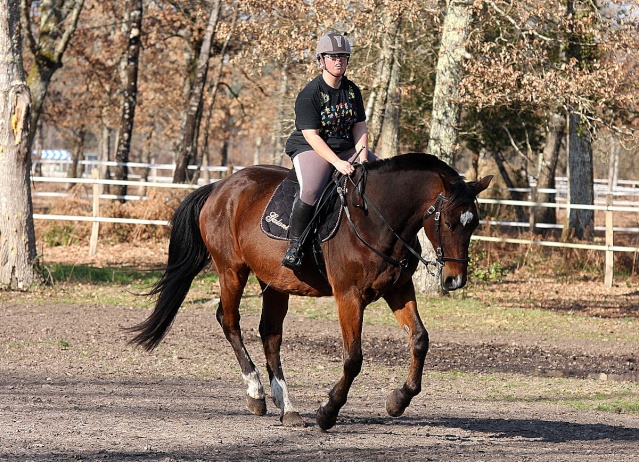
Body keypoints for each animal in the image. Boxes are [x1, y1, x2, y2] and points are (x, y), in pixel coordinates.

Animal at [127, 154, 492, 430]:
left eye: (474, 223)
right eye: (449, 223)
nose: (455, 281)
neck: (379, 219)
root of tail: (221, 186)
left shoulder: (399, 289)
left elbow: (419, 339)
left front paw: (398, 400)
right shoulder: (348, 296)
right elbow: (353, 358)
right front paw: (328, 411)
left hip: (274, 282)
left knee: (270, 335)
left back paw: (287, 407)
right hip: (231, 270)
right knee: (229, 321)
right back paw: (257, 393)